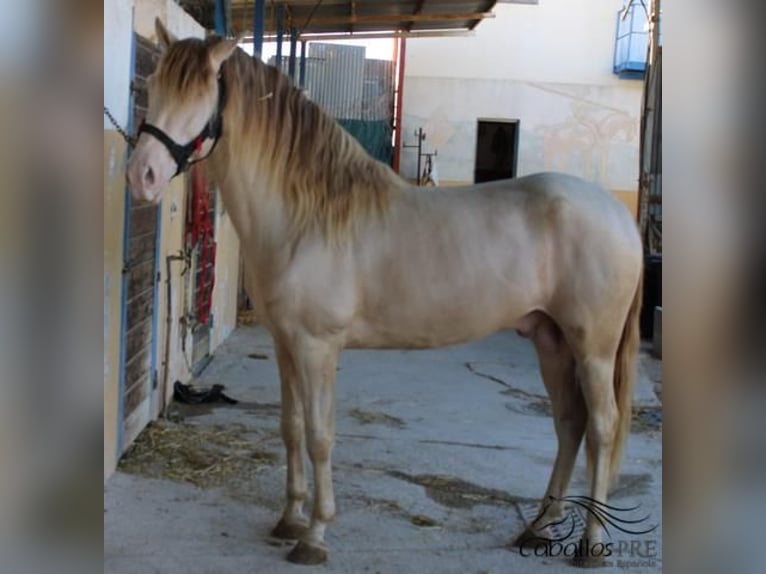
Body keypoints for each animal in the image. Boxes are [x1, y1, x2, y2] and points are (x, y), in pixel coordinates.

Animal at [129, 19, 644, 572]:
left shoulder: (317, 347)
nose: (142, 175)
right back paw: (538, 526)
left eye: (200, 93)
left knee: (602, 428)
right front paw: (289, 518)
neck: (306, 218)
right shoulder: (286, 345)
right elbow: (291, 427)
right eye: (156, 85)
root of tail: (620, 215)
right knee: (569, 424)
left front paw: (315, 536)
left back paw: (591, 544)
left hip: (593, 349)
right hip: (551, 340)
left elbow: (320, 436)